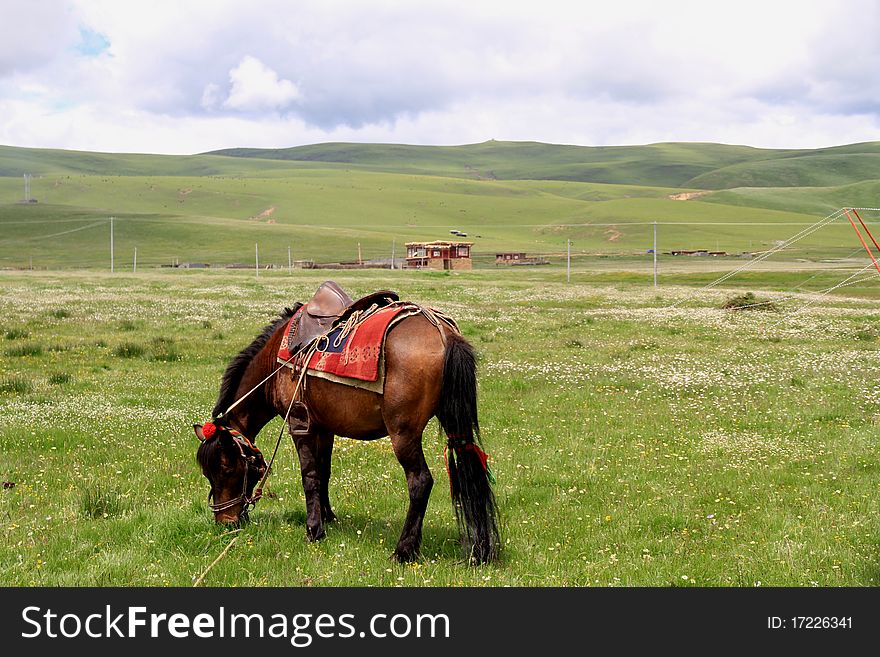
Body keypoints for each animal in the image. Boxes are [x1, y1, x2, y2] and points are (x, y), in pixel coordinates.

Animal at [195, 288, 498, 564]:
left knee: (420, 482)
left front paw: (314, 530)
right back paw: (480, 549)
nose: (225, 521)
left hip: (404, 433)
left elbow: (309, 476)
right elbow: (324, 472)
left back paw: (404, 550)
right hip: (453, 423)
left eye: (224, 468)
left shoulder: (300, 425)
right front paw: (328, 517)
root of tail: (444, 334)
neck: (275, 363)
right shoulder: (324, 427)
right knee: (469, 465)